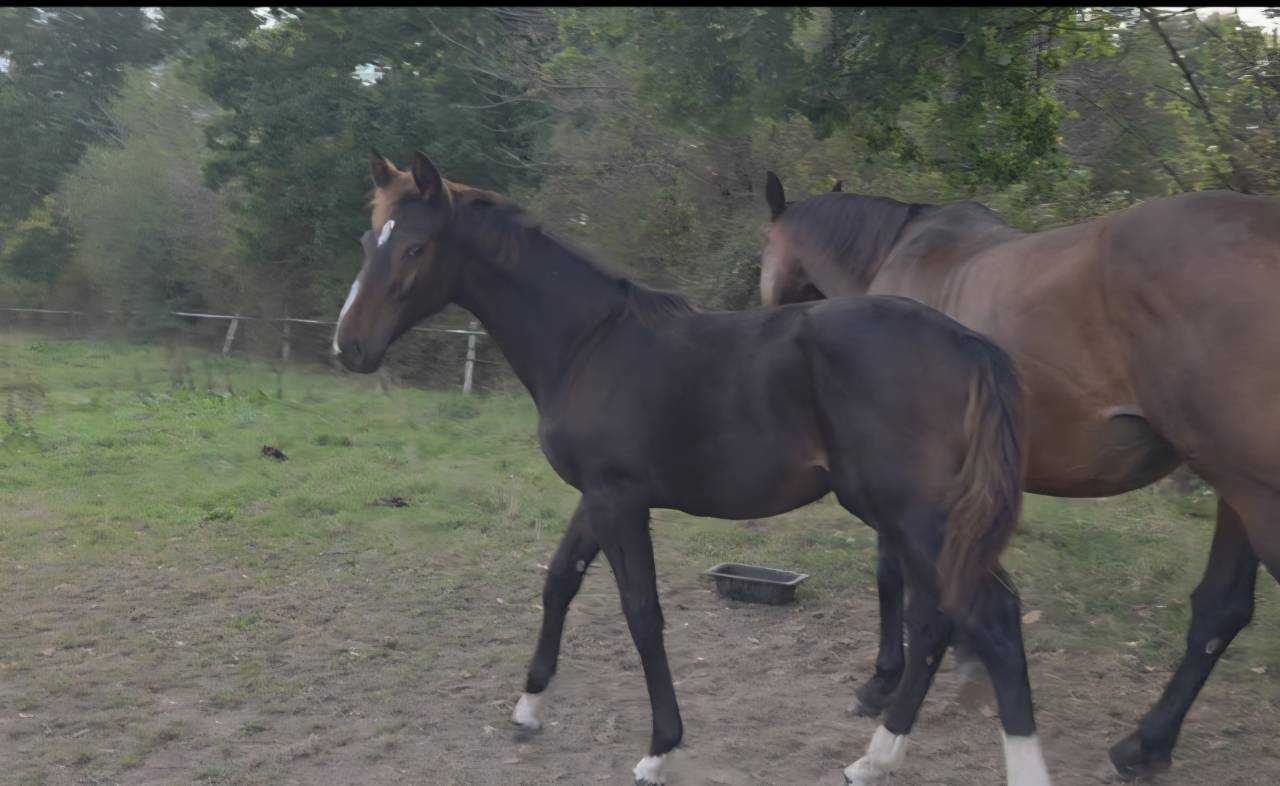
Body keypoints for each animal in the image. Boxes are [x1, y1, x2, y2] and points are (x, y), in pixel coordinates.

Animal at [333, 150, 1049, 786]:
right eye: (370, 238)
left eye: (415, 248)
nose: (349, 348)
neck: (588, 342)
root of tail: (968, 343)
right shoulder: (597, 496)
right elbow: (559, 581)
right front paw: (529, 707)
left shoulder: (620, 501)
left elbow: (642, 615)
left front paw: (660, 750)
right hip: (918, 518)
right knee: (940, 619)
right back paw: (874, 759)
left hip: (910, 513)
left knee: (988, 617)